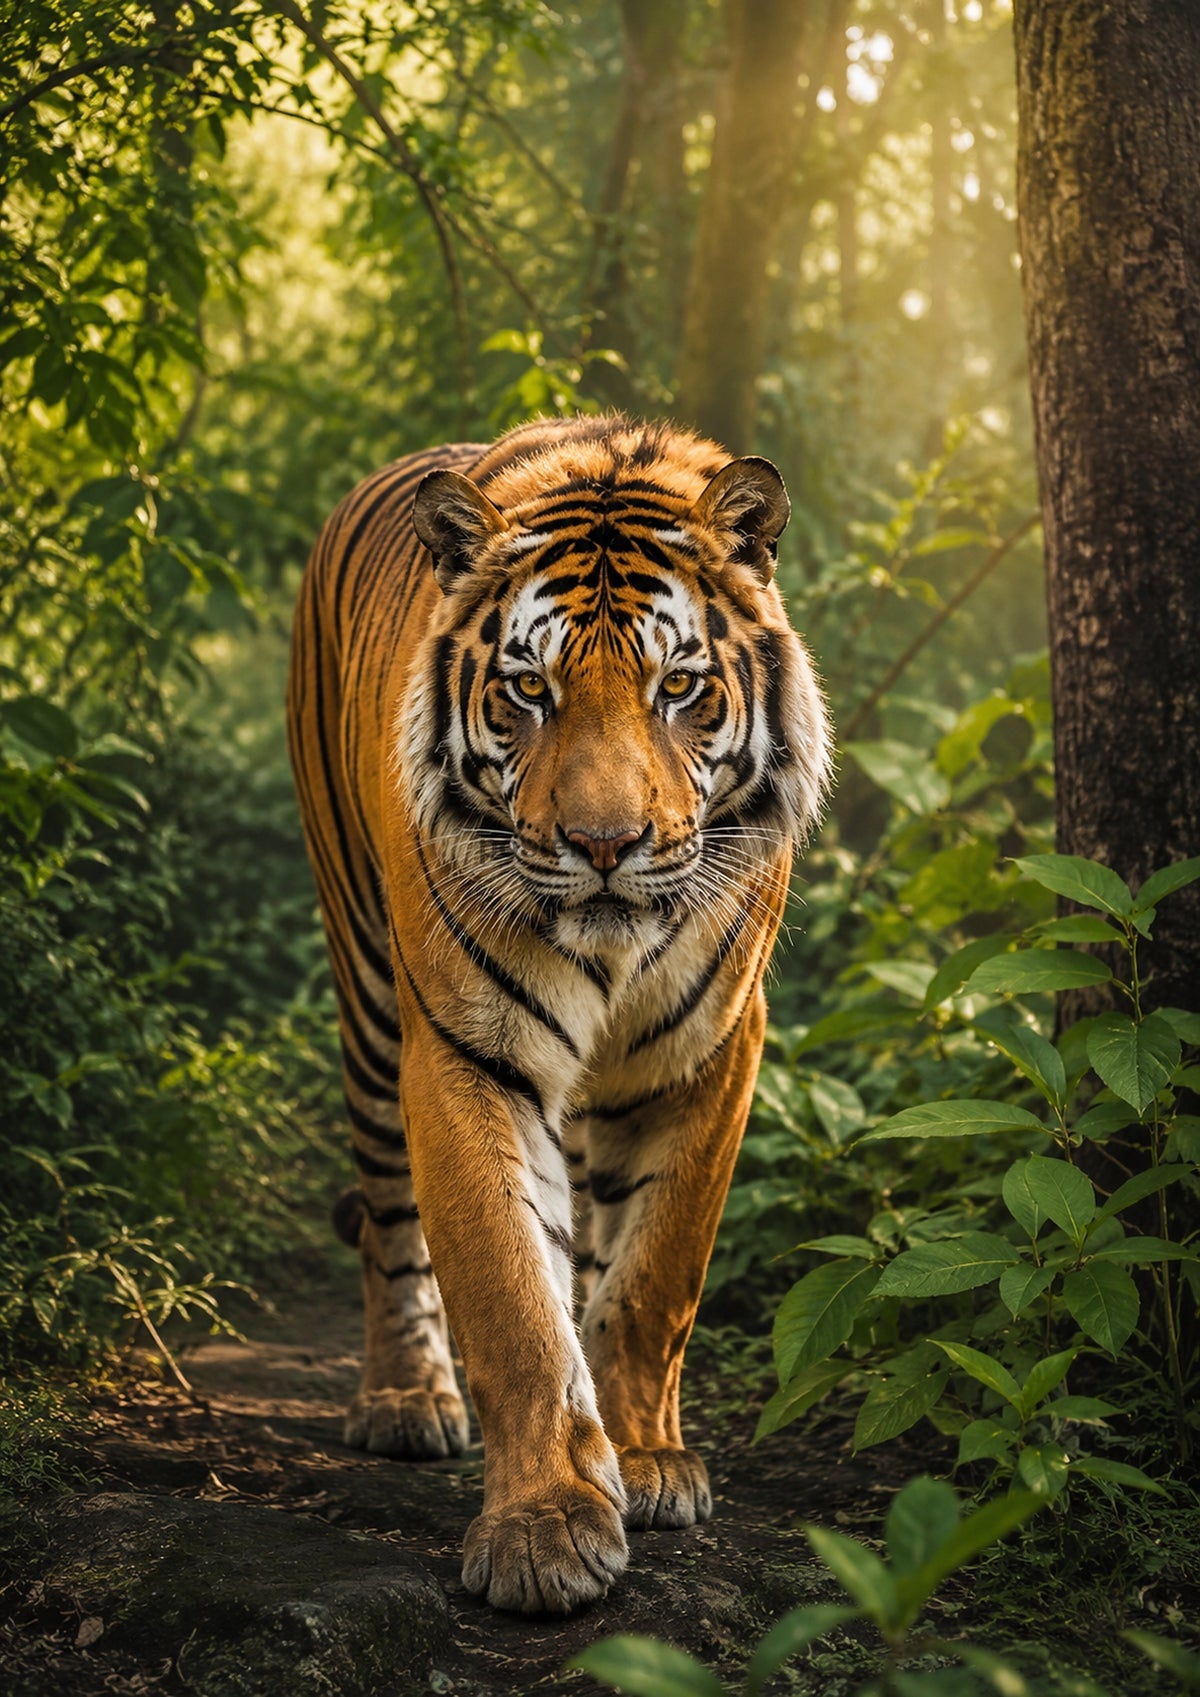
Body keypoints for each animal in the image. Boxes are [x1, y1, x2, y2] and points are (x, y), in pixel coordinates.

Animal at [287, 413, 832, 1615]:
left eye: (679, 686)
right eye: (528, 691)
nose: (604, 844)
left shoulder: (708, 1047)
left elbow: (652, 1276)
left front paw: (647, 1459)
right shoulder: (464, 1050)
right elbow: (510, 1294)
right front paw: (544, 1528)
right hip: (369, 992)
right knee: (390, 1220)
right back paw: (407, 1400)